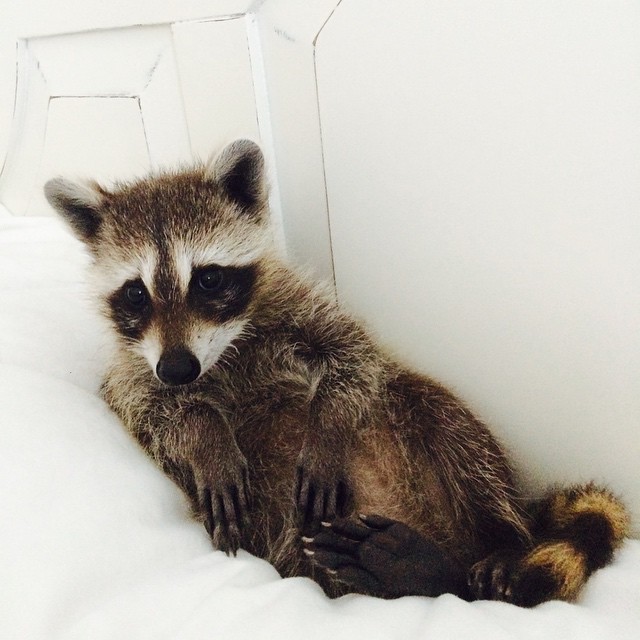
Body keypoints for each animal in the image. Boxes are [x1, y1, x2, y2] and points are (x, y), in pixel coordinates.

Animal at [45, 140, 629, 606]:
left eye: (208, 278)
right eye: (135, 293)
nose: (178, 369)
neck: (224, 352)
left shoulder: (297, 303)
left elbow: (355, 356)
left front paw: (327, 428)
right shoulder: (130, 370)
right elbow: (150, 411)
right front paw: (204, 437)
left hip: (444, 450)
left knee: (430, 408)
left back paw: (491, 546)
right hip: (283, 532)